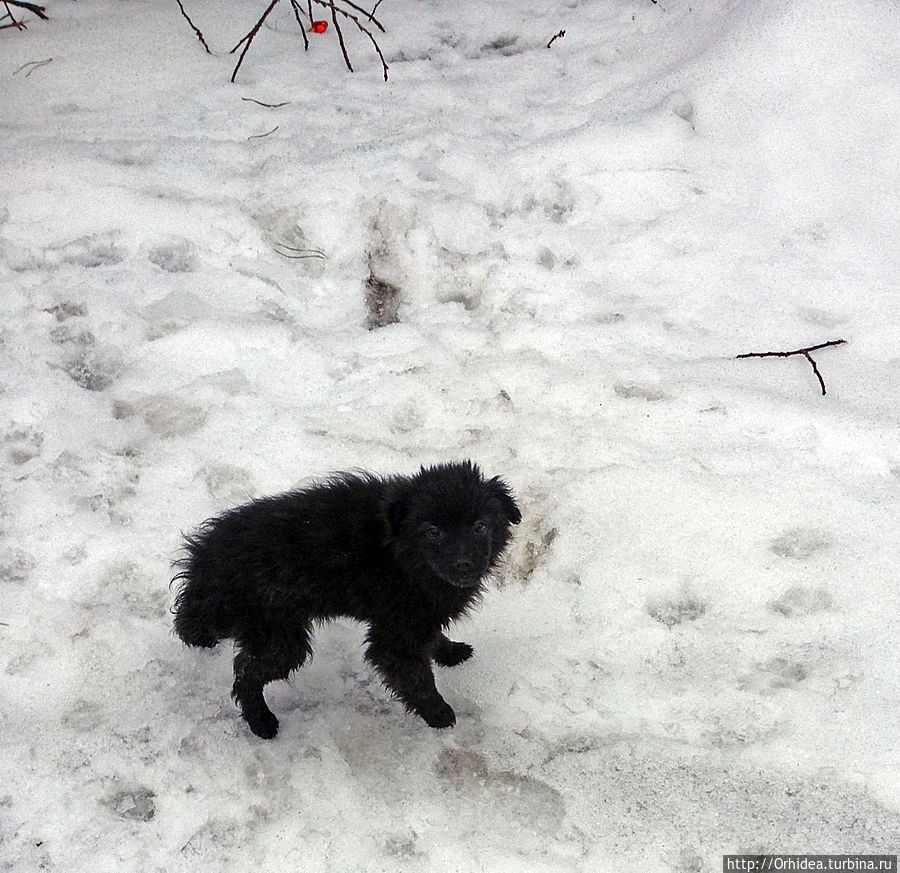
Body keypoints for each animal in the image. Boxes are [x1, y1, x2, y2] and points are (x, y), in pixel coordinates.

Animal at [172, 460, 520, 740]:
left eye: (480, 526)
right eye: (432, 531)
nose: (464, 564)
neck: (402, 556)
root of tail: (204, 564)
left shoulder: (421, 617)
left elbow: (433, 638)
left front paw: (449, 652)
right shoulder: (396, 635)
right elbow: (417, 679)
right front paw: (439, 714)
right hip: (279, 638)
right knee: (245, 672)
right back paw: (262, 722)